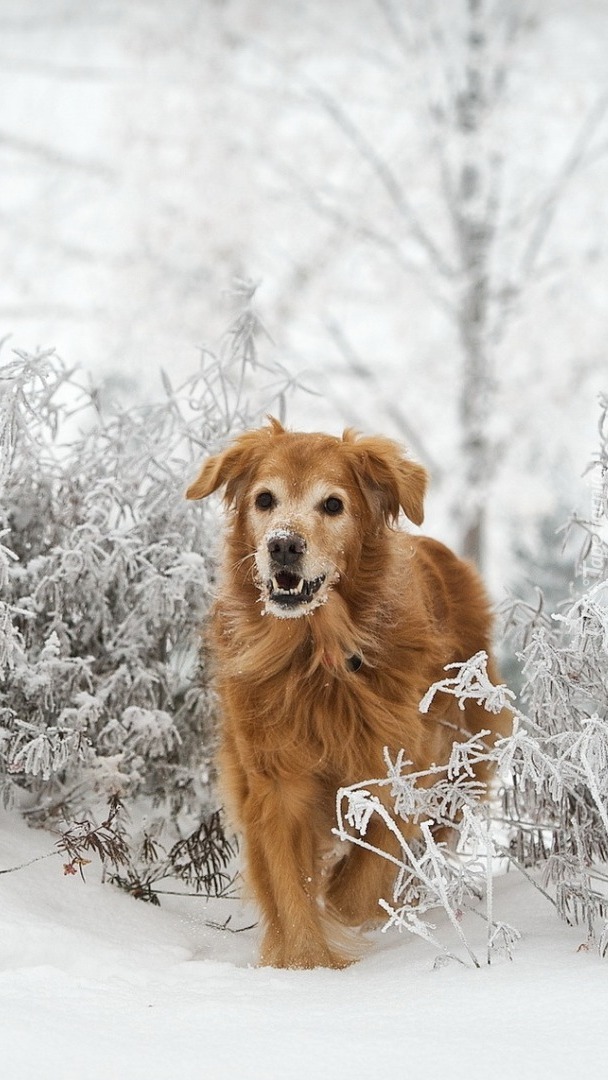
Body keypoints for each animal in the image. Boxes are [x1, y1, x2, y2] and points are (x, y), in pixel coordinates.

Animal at [187, 416, 511, 967]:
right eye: (265, 499)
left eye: (333, 505)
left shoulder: (402, 762)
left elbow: (366, 872)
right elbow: (289, 886)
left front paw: (348, 907)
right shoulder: (275, 779)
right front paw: (305, 963)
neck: (317, 655)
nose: (283, 545)